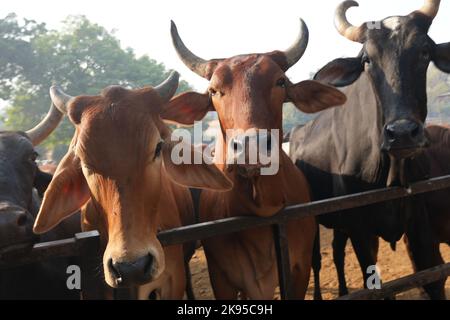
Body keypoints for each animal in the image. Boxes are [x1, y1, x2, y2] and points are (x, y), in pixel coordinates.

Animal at [163, 20, 346, 300]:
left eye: (280, 82)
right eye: (214, 91)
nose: (251, 146)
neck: (261, 207)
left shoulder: (298, 269)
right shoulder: (221, 278)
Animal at [290, 0, 448, 300]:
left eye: (424, 50)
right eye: (367, 60)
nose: (401, 133)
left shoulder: (421, 225)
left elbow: (433, 279)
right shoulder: (361, 230)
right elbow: (374, 286)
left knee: (337, 252)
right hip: (312, 221)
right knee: (316, 260)